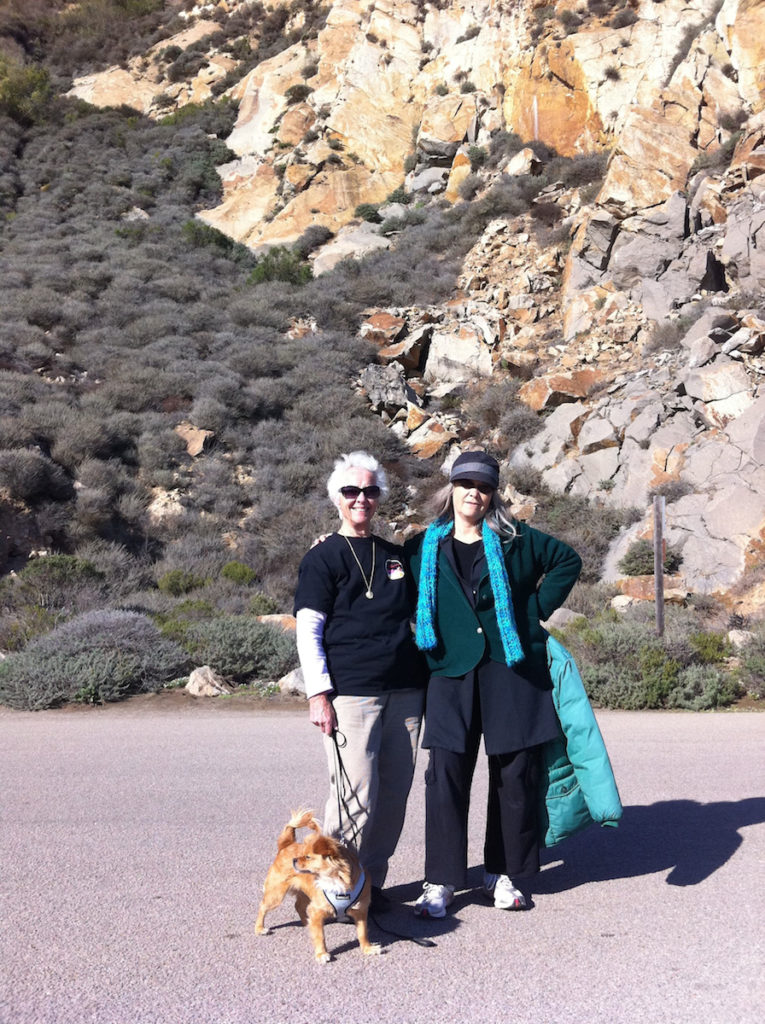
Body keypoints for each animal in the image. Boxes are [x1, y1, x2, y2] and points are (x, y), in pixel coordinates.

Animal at [256, 806, 380, 966]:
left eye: (307, 857)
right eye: (303, 855)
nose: (294, 860)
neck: (336, 880)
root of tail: (286, 845)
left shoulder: (360, 911)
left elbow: (363, 932)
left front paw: (367, 948)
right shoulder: (316, 910)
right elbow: (320, 936)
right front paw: (322, 954)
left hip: (305, 894)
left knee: (298, 906)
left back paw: (306, 922)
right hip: (276, 894)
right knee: (263, 907)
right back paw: (259, 928)